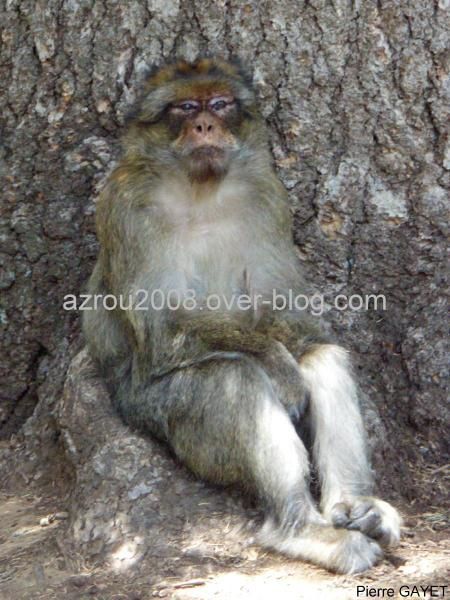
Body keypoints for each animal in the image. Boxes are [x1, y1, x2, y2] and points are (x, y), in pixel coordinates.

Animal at [83, 58, 400, 576]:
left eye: (220, 103)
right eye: (184, 107)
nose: (204, 125)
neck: (200, 188)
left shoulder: (268, 196)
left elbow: (290, 311)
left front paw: (291, 359)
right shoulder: (124, 205)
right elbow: (163, 329)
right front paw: (278, 368)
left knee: (321, 355)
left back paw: (355, 508)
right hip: (151, 408)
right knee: (232, 379)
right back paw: (300, 527)